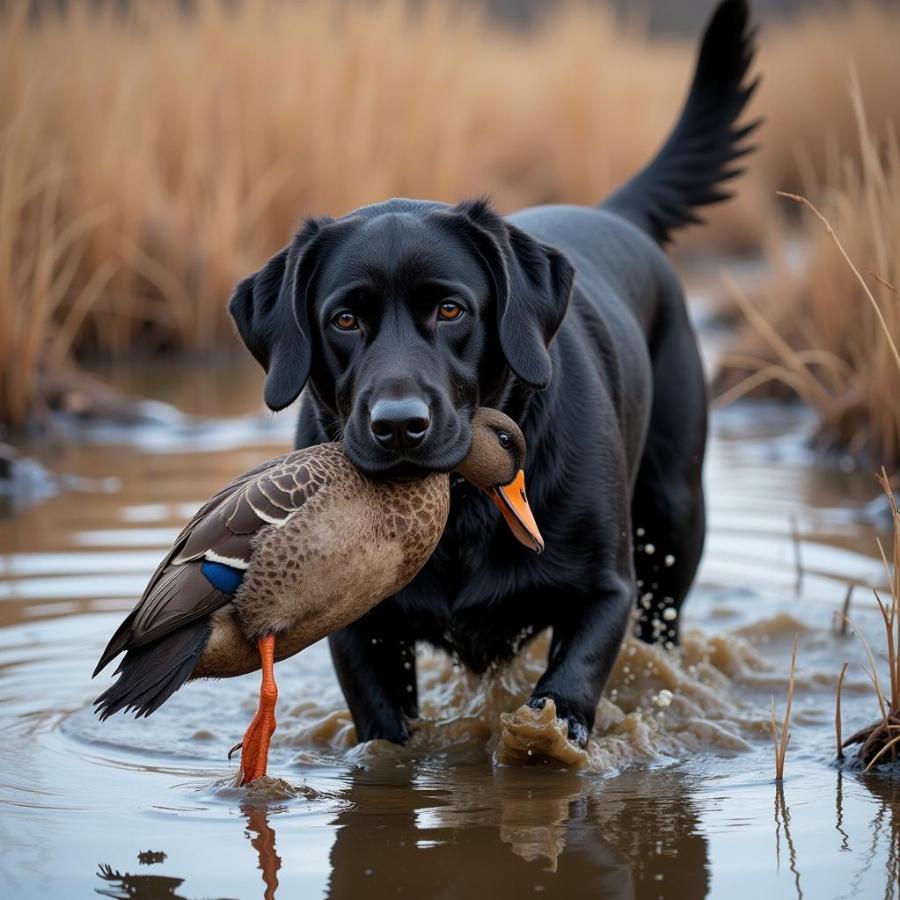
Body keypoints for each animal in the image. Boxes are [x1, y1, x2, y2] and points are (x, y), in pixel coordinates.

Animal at [230, 0, 760, 744]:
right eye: (344, 320)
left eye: (451, 309)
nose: (399, 427)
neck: (463, 512)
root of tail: (610, 213)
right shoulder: (359, 626)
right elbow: (384, 726)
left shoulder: (607, 589)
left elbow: (571, 681)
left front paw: (547, 740)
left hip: (674, 519)